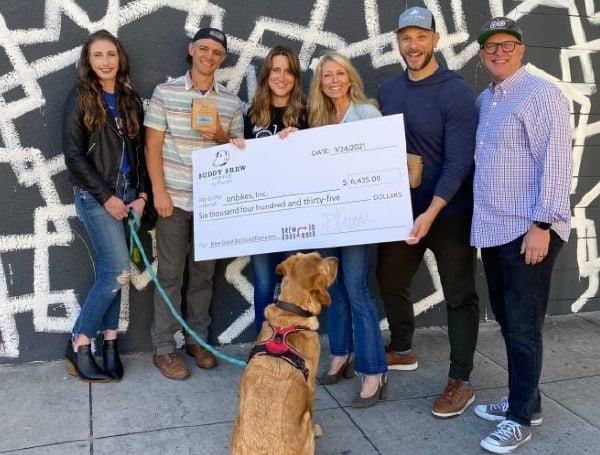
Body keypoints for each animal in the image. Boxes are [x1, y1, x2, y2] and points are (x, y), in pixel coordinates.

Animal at [231, 253, 338, 455]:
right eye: (324, 263)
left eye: (317, 254)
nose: (336, 258)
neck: (289, 315)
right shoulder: (311, 384)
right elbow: (313, 410)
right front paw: (317, 429)